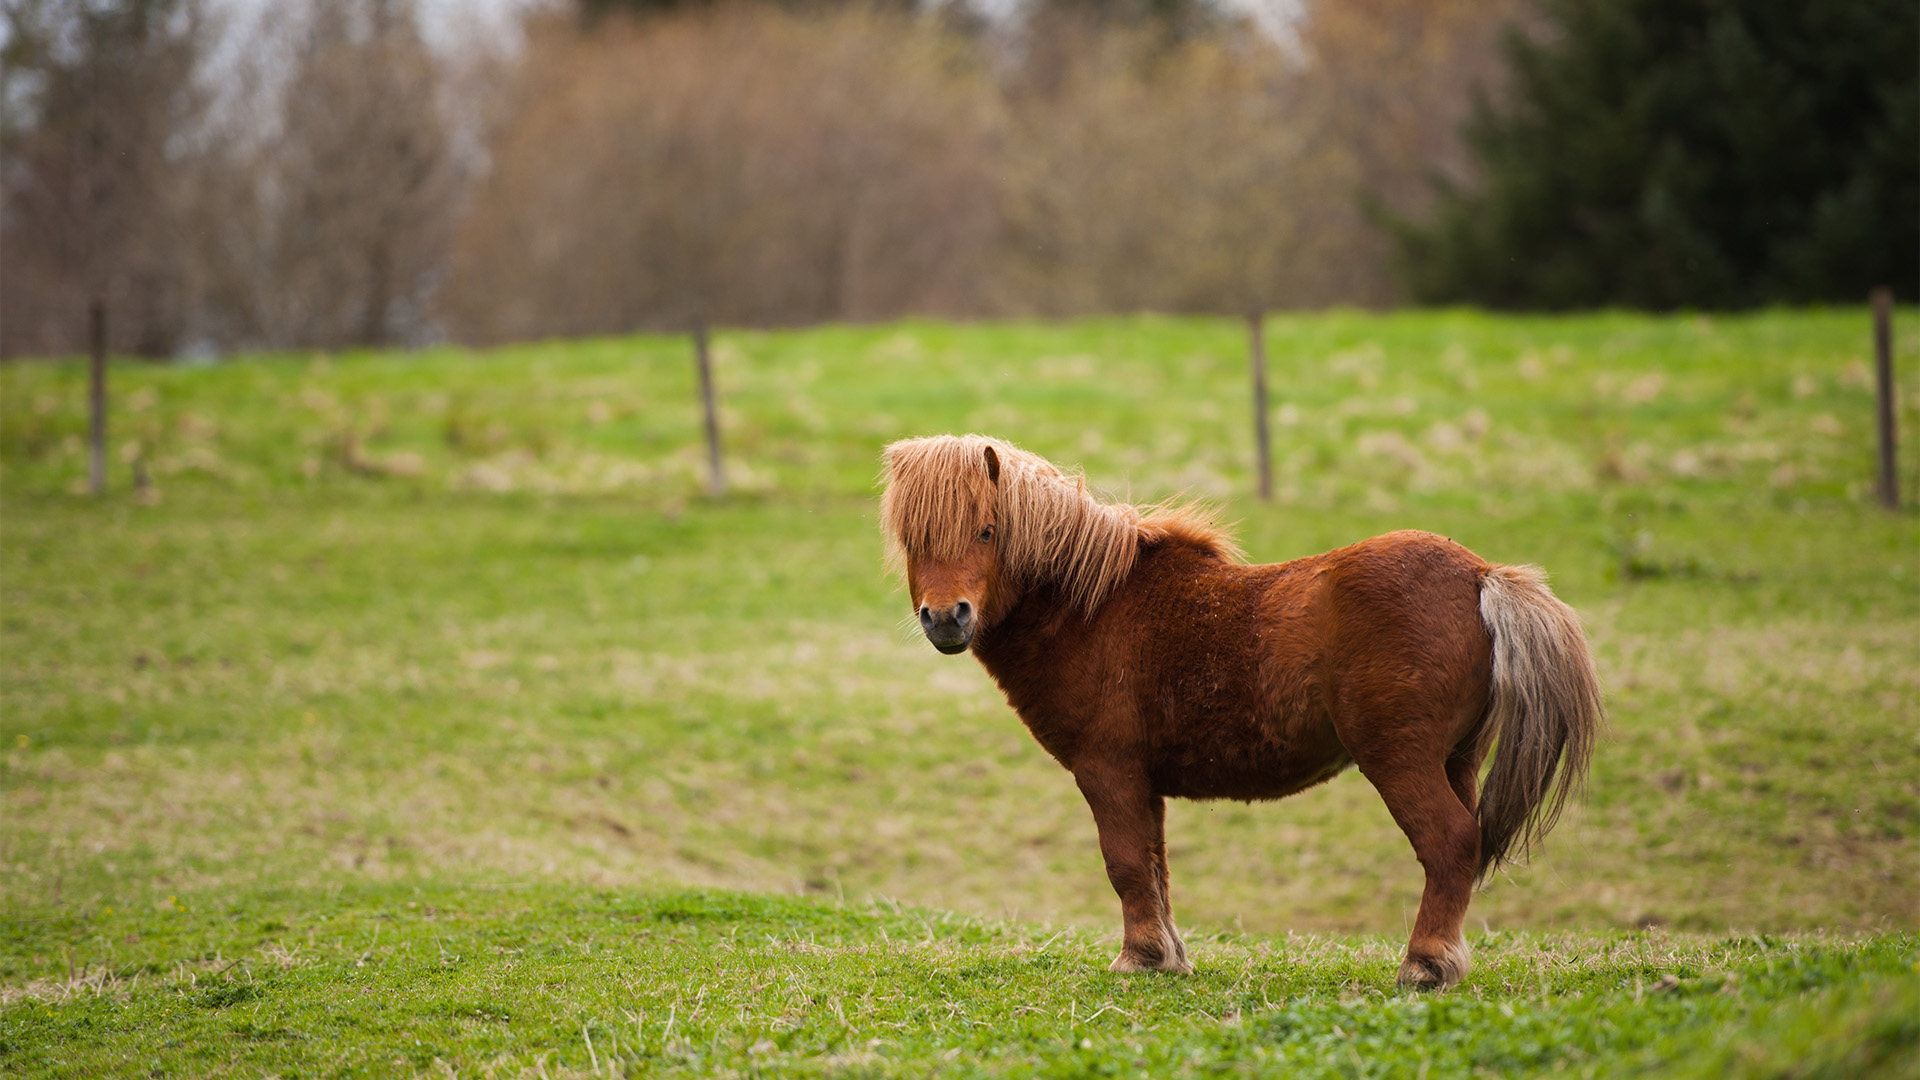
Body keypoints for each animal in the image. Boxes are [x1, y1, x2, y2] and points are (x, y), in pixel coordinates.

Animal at [878, 434, 1601, 989]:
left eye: (986, 530)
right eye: (912, 539)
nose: (946, 618)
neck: (1093, 606)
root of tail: (1480, 576)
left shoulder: (1107, 771)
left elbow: (1125, 863)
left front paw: (1138, 958)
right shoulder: (1143, 783)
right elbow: (1155, 865)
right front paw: (1166, 956)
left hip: (1401, 761)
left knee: (1448, 843)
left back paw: (1422, 966)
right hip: (1456, 760)